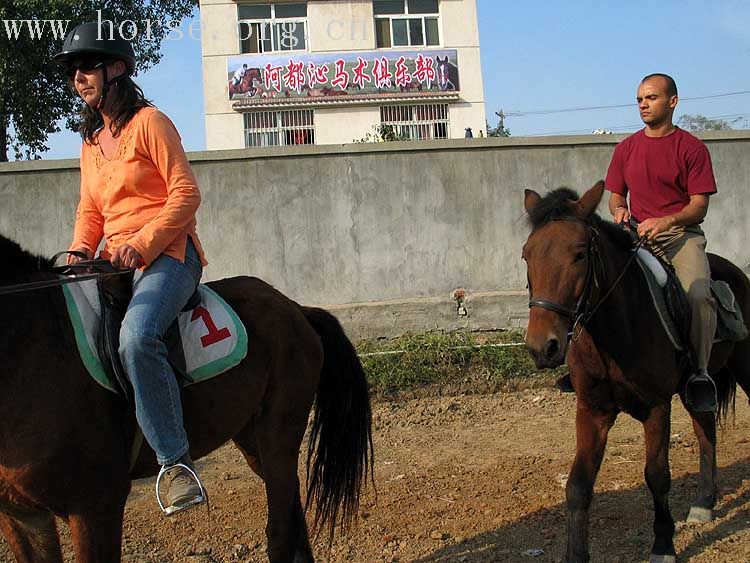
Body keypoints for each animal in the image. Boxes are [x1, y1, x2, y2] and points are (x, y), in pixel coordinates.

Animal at [0, 231, 376, 560]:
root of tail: (295, 308)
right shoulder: (22, 517)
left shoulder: (96, 507)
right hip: (252, 439)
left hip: (279, 433)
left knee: (280, 533)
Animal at [524, 182, 750, 563]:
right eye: (527, 254)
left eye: (580, 254)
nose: (544, 347)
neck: (613, 334)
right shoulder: (592, 410)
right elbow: (578, 485)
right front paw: (575, 554)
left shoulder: (657, 408)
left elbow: (657, 476)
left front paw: (663, 545)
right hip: (695, 389)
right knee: (706, 431)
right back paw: (704, 503)